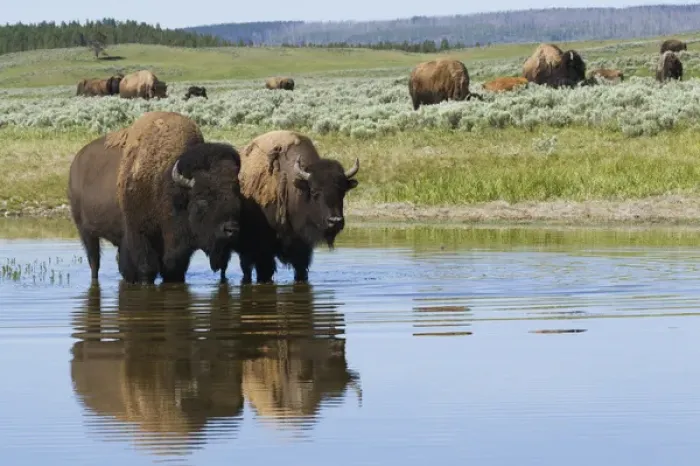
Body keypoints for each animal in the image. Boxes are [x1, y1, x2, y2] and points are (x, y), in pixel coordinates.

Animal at [108, 111, 243, 284]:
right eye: (203, 200)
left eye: (236, 196)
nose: (231, 230)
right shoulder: (141, 232)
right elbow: (147, 266)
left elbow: (174, 268)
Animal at [235, 130, 359, 284]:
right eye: (314, 192)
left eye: (342, 192)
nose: (335, 221)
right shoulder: (264, 250)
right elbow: (265, 272)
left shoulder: (302, 249)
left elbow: (301, 271)